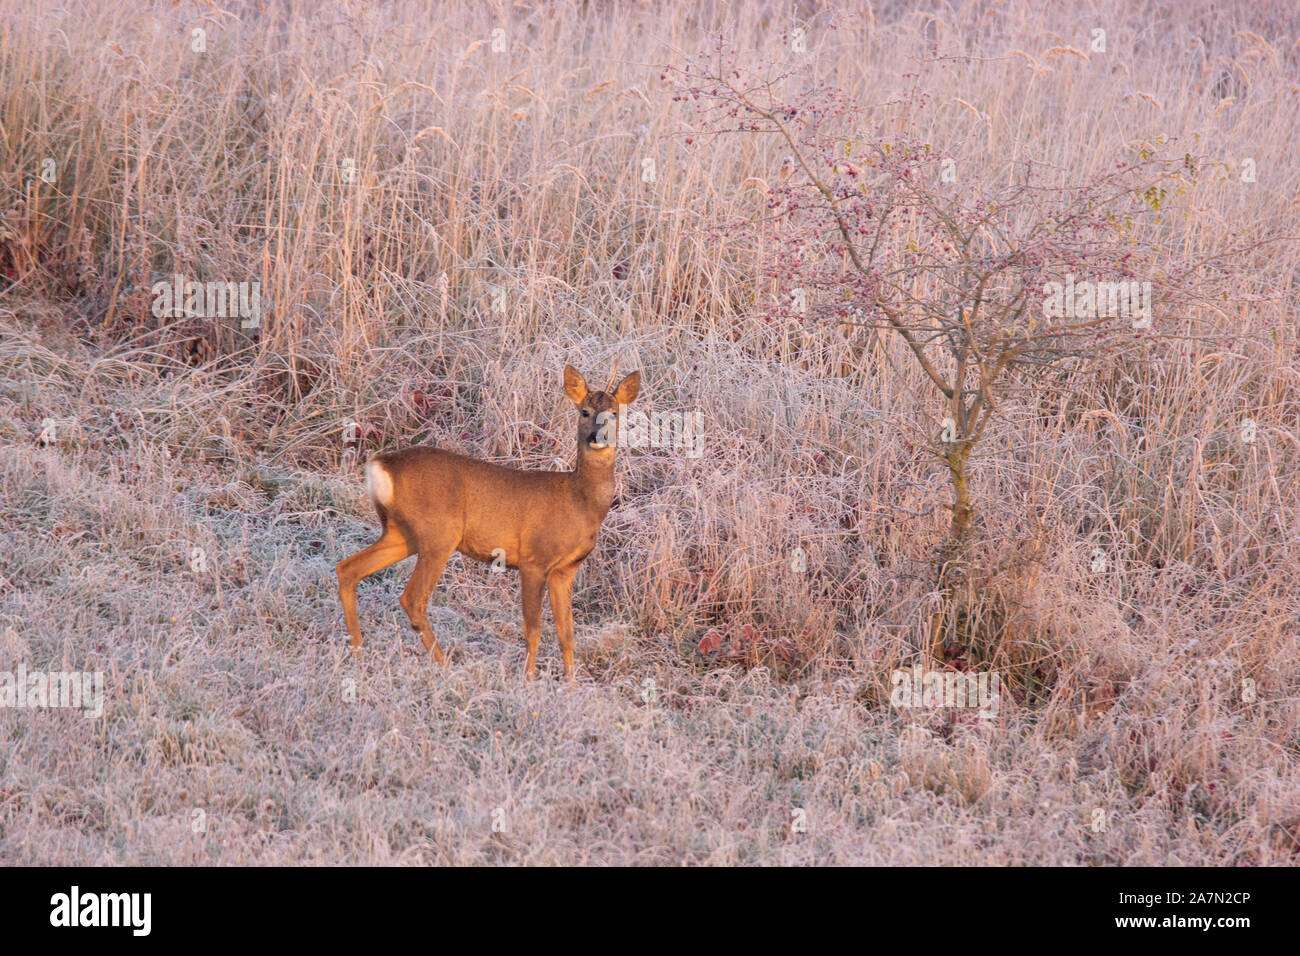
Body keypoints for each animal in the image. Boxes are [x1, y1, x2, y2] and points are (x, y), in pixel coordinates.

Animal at [336, 365, 640, 680]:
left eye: (614, 413)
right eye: (584, 411)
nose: (596, 437)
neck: (580, 501)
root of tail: (380, 467)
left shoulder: (564, 570)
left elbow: (566, 632)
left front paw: (570, 684)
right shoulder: (534, 559)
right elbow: (533, 628)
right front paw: (528, 679)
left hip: (400, 534)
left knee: (348, 569)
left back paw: (358, 652)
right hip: (439, 534)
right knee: (412, 599)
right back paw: (445, 666)